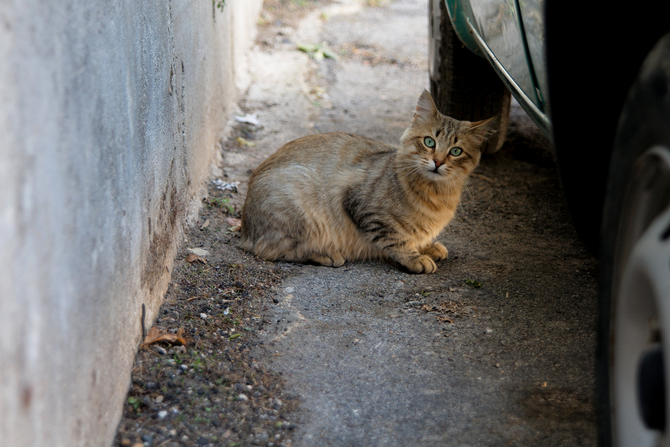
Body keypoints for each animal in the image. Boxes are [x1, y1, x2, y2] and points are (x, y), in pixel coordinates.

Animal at [239, 90, 496, 272]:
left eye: (455, 151)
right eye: (429, 142)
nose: (438, 162)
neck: (436, 194)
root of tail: (245, 230)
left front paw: (428, 246)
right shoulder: (363, 206)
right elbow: (396, 239)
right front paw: (415, 257)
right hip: (300, 200)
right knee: (273, 251)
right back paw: (326, 254)